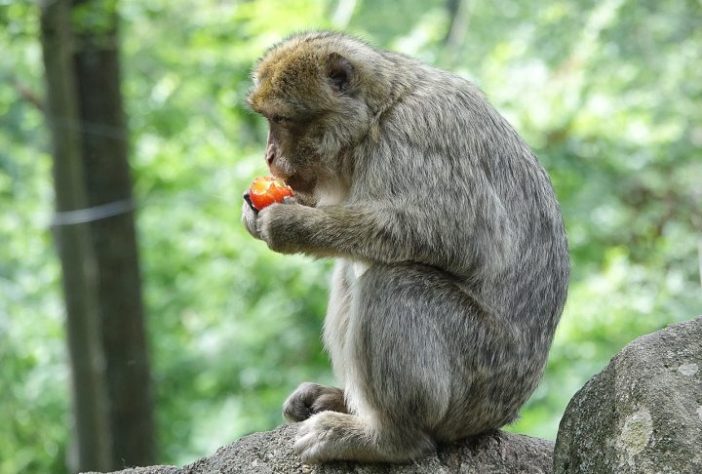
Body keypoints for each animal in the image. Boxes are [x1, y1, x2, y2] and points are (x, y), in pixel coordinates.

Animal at [241, 31, 569, 464]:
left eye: (280, 120)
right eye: (268, 120)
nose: (269, 156)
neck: (379, 114)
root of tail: (505, 413)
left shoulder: (418, 135)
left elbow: (463, 236)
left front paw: (288, 224)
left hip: (476, 379)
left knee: (394, 282)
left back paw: (388, 437)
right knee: (353, 270)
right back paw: (344, 401)